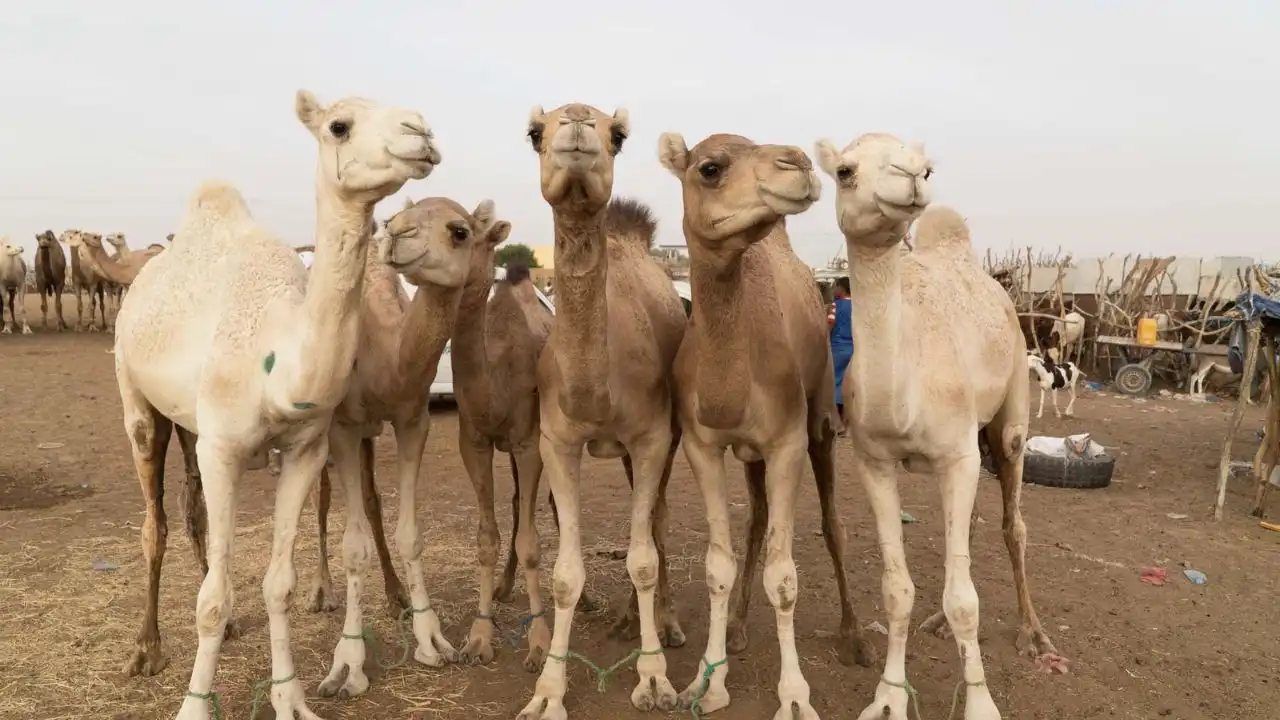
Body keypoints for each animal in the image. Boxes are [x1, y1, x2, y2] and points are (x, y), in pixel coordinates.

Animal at [112, 89, 437, 720]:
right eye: (339, 125)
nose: (422, 132)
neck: (278, 360)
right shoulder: (223, 449)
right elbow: (211, 598)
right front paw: (194, 706)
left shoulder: (306, 447)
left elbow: (277, 584)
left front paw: (290, 698)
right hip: (136, 398)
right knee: (153, 523)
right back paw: (145, 650)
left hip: (191, 424)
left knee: (191, 510)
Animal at [516, 103, 686, 720]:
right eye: (534, 132)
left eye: (618, 135)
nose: (577, 125)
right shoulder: (557, 441)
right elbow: (566, 573)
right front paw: (547, 692)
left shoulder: (652, 437)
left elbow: (642, 559)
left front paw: (655, 679)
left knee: (659, 521)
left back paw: (666, 624)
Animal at [656, 131, 874, 718]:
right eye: (709, 168)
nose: (796, 163)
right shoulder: (703, 446)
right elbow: (717, 565)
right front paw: (706, 683)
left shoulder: (786, 443)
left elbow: (785, 575)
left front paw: (795, 697)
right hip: (750, 455)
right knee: (754, 521)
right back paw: (735, 628)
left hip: (821, 419)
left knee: (834, 526)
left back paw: (854, 639)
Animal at [813, 133, 1060, 720]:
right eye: (844, 170)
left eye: (926, 167)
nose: (911, 178)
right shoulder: (874, 461)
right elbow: (897, 589)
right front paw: (887, 697)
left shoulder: (958, 454)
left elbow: (967, 598)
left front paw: (981, 704)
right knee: (965, 535)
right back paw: (939, 624)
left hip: (1010, 411)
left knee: (1013, 524)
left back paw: (1033, 634)